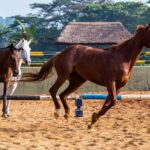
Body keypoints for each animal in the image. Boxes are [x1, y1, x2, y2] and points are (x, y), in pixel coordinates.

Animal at [22, 24, 150, 128]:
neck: (122, 58)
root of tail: (60, 54)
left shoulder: (118, 86)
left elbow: (108, 102)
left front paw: (93, 120)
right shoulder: (110, 82)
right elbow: (113, 101)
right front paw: (93, 119)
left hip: (78, 81)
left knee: (63, 94)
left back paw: (67, 114)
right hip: (63, 75)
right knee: (53, 90)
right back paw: (57, 112)